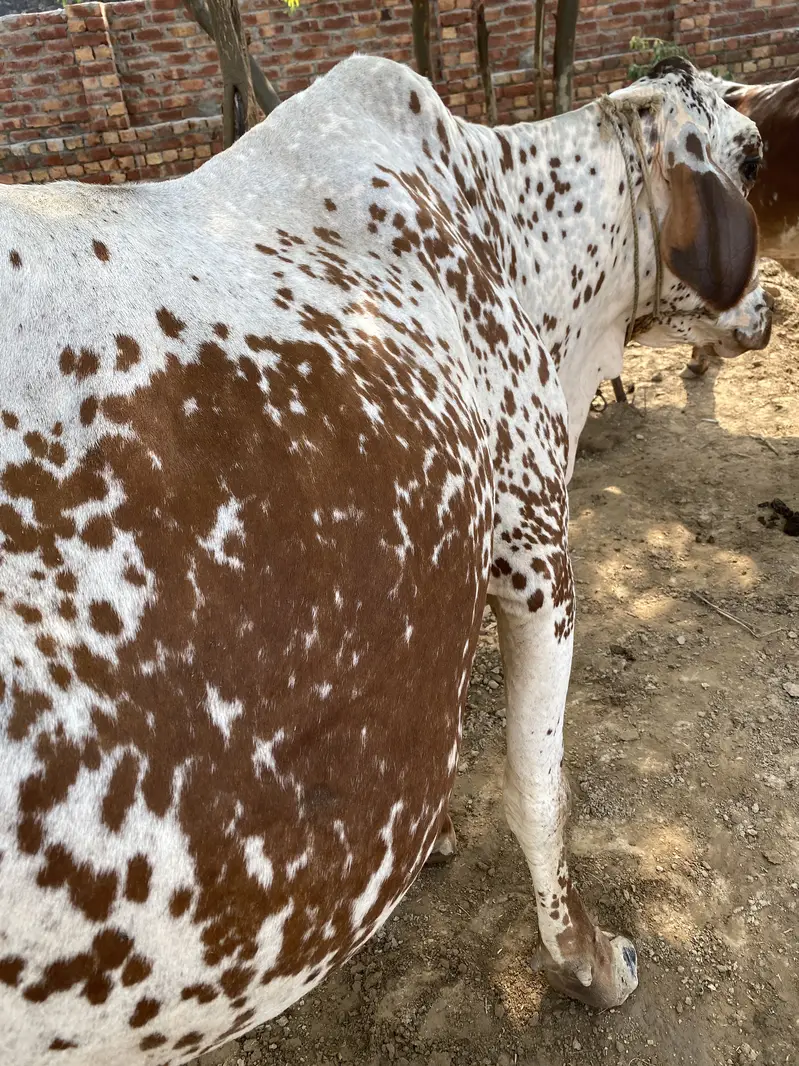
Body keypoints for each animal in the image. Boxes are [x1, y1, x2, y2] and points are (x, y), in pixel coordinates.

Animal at [0, 55, 771, 1065]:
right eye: (752, 157)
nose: (768, 307)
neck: (502, 224)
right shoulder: (532, 549)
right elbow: (539, 792)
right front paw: (588, 962)